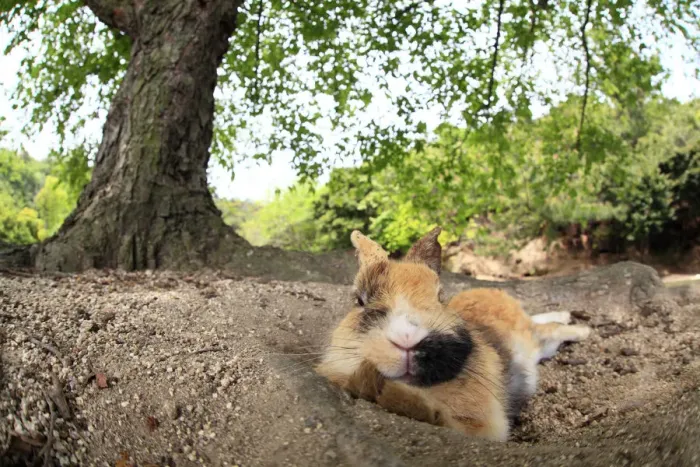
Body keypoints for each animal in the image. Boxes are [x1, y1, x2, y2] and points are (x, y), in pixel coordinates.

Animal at [316, 227, 591, 441]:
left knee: (549, 329)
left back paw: (582, 328)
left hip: (531, 337)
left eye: (440, 297)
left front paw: (395, 396)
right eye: (359, 300)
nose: (407, 340)